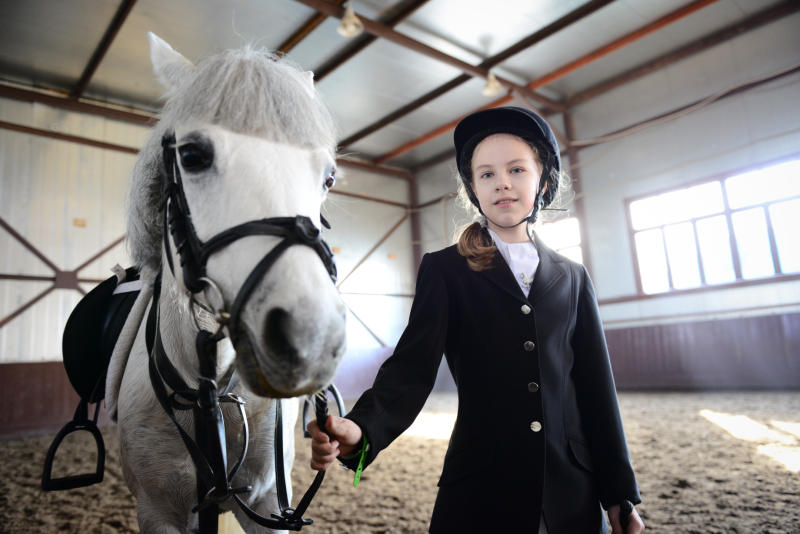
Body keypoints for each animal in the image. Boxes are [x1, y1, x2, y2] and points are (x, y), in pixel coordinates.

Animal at [105, 35, 344, 532]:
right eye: (193, 156)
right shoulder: (158, 511)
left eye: (328, 178)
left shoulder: (269, 503)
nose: (309, 340)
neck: (209, 392)